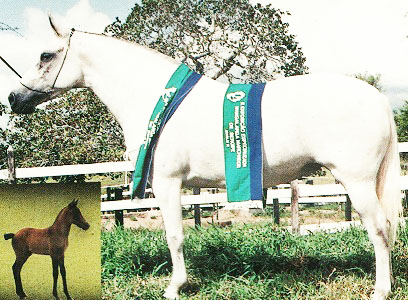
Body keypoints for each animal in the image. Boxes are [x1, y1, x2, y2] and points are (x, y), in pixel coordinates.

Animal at [7, 17, 404, 300]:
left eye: (46, 55)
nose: (13, 98)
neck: (156, 99)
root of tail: (378, 98)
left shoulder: (167, 183)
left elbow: (174, 235)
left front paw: (175, 287)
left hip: (357, 182)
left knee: (380, 229)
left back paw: (380, 290)